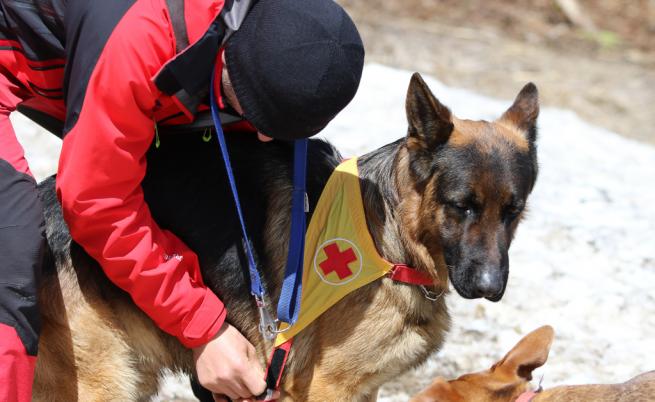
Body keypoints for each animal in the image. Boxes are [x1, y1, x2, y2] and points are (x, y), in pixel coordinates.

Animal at [33, 74, 540, 400]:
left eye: (513, 212)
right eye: (462, 206)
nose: (491, 288)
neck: (390, 241)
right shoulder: (326, 388)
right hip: (106, 383)